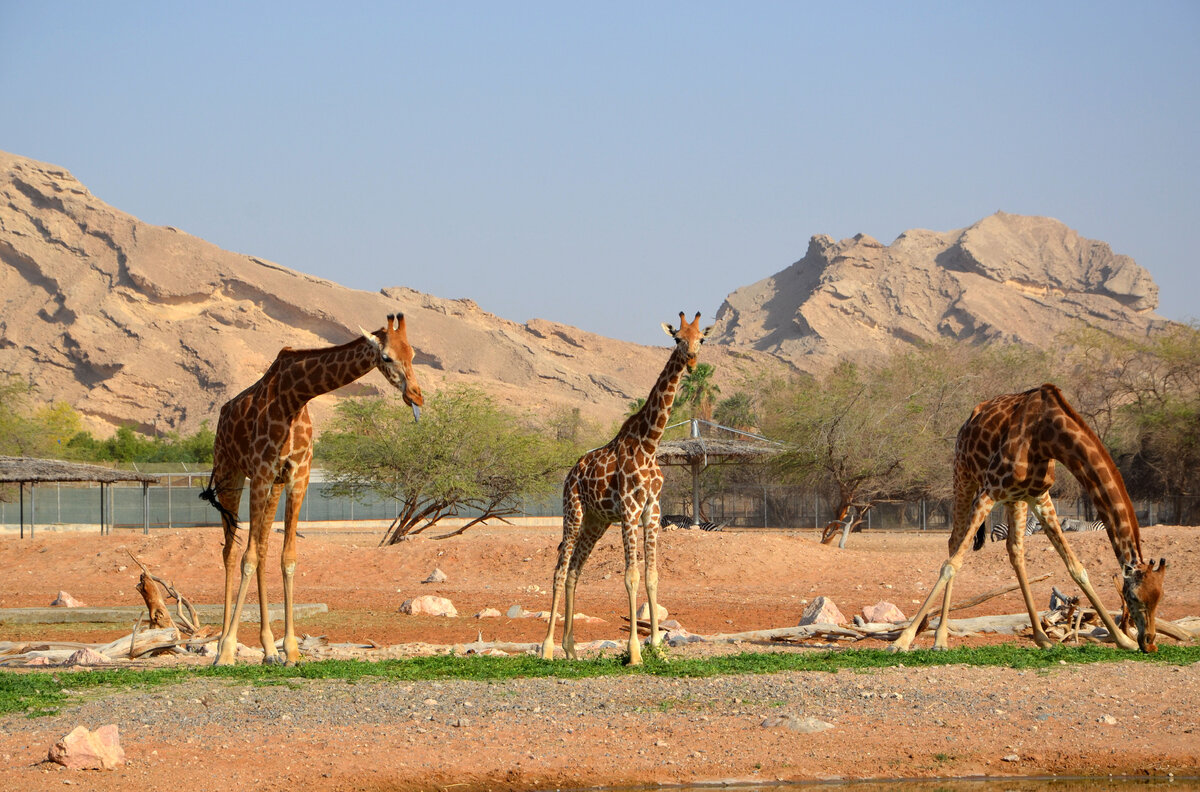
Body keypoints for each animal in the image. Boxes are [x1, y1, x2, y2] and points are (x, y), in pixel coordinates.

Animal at [205, 312, 427, 667]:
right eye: (386, 357)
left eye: (413, 354)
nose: (417, 396)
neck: (294, 398)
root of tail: (223, 413)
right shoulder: (262, 472)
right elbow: (247, 558)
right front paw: (226, 650)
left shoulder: (297, 477)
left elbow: (287, 557)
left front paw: (291, 651)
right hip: (230, 472)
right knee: (230, 551)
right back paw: (219, 648)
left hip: (272, 487)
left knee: (263, 548)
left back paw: (268, 650)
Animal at [544, 312, 710, 667]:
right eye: (678, 338)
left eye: (701, 338)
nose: (691, 361)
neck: (650, 443)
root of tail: (571, 473)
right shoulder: (630, 511)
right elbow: (631, 576)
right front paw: (635, 652)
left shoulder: (652, 512)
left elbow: (652, 575)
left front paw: (657, 647)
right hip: (573, 511)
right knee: (560, 568)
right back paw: (547, 648)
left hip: (597, 521)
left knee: (576, 569)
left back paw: (570, 648)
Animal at [892, 381, 1161, 652]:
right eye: (1133, 596)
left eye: (1159, 596)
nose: (1149, 643)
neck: (1047, 435)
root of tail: (970, 419)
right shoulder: (990, 490)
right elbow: (951, 564)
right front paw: (902, 640)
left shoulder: (1039, 496)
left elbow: (1076, 567)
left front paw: (1123, 640)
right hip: (964, 476)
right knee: (955, 542)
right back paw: (940, 639)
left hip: (1014, 499)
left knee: (1015, 550)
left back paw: (1042, 637)